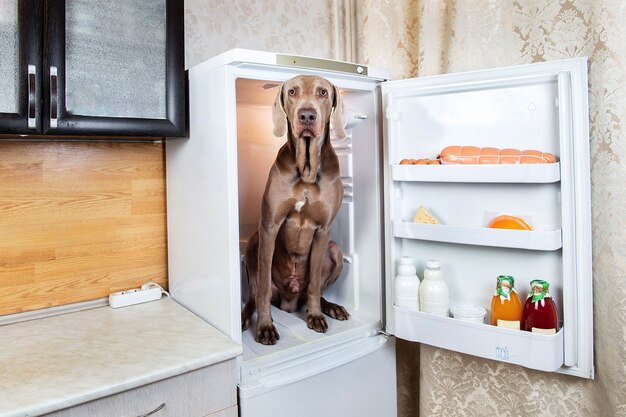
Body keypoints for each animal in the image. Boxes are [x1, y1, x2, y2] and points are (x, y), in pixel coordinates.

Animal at [240, 75, 348, 344]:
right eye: (292, 92)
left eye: (322, 92)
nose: (307, 115)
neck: (306, 169)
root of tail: (289, 302)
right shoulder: (269, 226)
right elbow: (263, 290)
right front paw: (265, 327)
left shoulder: (323, 230)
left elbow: (315, 285)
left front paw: (315, 316)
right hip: (253, 244)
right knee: (255, 295)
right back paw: (245, 317)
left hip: (335, 250)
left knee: (315, 288)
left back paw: (330, 307)